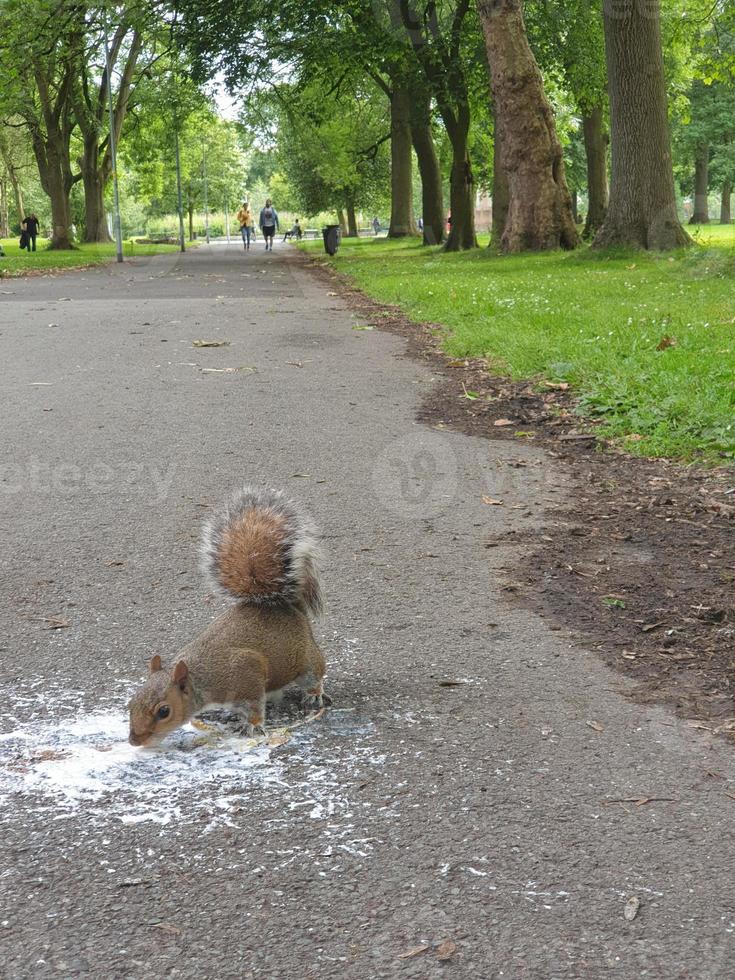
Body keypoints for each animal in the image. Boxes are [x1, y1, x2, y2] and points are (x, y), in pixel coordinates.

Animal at [129, 486, 328, 748]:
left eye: (164, 711)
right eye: (131, 703)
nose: (134, 741)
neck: (200, 678)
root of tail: (289, 607)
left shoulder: (246, 674)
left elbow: (253, 707)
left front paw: (251, 726)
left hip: (306, 660)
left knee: (314, 674)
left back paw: (313, 695)